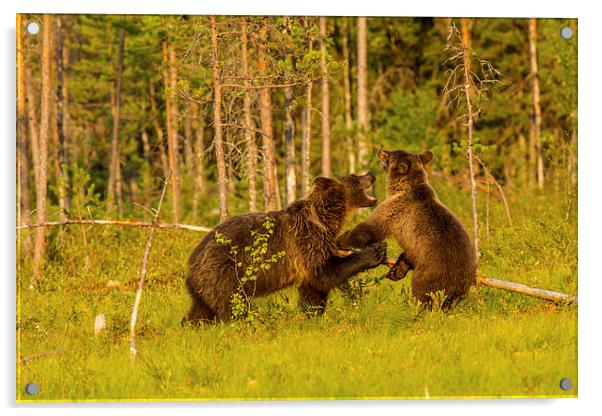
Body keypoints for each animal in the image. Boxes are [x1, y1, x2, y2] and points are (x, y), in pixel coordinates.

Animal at [185, 172, 386, 322]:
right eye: (354, 176)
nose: (371, 173)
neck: (325, 219)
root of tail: (192, 263)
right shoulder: (307, 241)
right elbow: (325, 273)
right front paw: (374, 252)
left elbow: (313, 288)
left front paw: (313, 315)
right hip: (225, 272)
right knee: (233, 304)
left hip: (205, 287)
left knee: (201, 310)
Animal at [336, 148, 476, 308]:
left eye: (390, 155)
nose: (381, 150)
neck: (401, 188)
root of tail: (460, 282)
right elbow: (408, 254)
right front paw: (396, 270)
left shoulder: (394, 210)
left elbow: (369, 230)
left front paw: (340, 240)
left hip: (432, 271)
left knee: (423, 292)